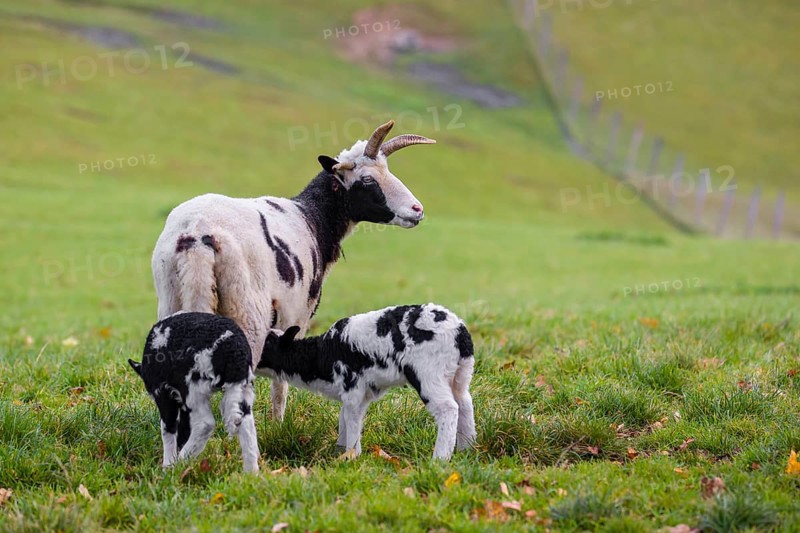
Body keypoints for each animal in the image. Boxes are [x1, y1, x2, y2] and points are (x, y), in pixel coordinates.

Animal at [128, 312, 259, 473]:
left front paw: (167, 465)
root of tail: (234, 348)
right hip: (242, 387)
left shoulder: (162, 392)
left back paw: (181, 462)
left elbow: (168, 428)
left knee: (205, 423)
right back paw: (251, 473)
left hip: (193, 386)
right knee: (246, 423)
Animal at [151, 120, 436, 421]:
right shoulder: (296, 310)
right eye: (368, 179)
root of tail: (197, 235)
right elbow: (281, 379)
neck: (312, 217)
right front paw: (278, 423)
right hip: (248, 311)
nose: (417, 209)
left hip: (171, 303)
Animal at [258, 303, 476, 460]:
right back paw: (467, 450)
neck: (321, 354)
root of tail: (460, 332)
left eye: (265, 344)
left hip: (429, 373)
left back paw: (440, 459)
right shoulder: (359, 394)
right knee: (465, 403)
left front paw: (351, 456)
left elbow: (352, 421)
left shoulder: (352, 387)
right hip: (461, 374)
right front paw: (339, 451)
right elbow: (344, 419)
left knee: (448, 408)